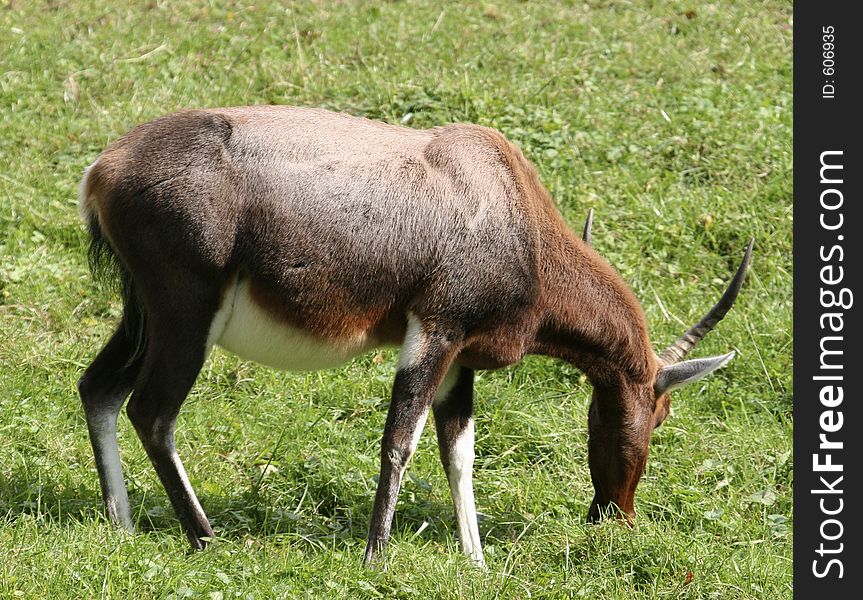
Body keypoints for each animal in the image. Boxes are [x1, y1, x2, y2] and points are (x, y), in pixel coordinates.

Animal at [79, 105, 756, 564]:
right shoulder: (433, 332)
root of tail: (104, 170)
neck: (502, 192)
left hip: (143, 317)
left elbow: (459, 452)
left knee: (98, 390)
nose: (614, 517)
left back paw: (123, 527)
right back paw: (205, 537)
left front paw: (476, 562)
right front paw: (375, 556)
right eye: (659, 413)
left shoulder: (459, 359)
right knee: (151, 412)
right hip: (186, 318)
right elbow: (400, 441)